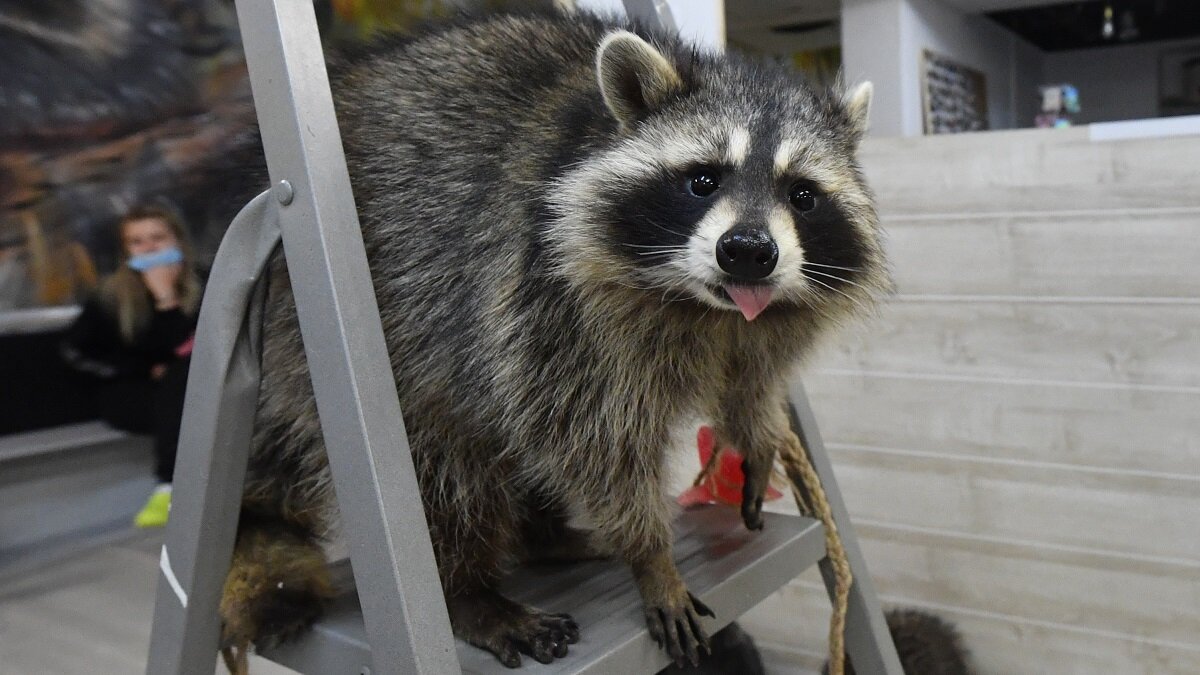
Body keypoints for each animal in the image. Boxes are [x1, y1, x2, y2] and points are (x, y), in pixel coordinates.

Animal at [220, 7, 888, 662]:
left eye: (802, 195)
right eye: (703, 180)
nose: (747, 251)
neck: (706, 307)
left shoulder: (759, 326)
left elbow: (753, 378)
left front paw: (758, 431)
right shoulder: (547, 296)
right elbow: (597, 443)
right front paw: (651, 556)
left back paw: (544, 535)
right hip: (332, 336)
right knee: (445, 463)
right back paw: (466, 589)